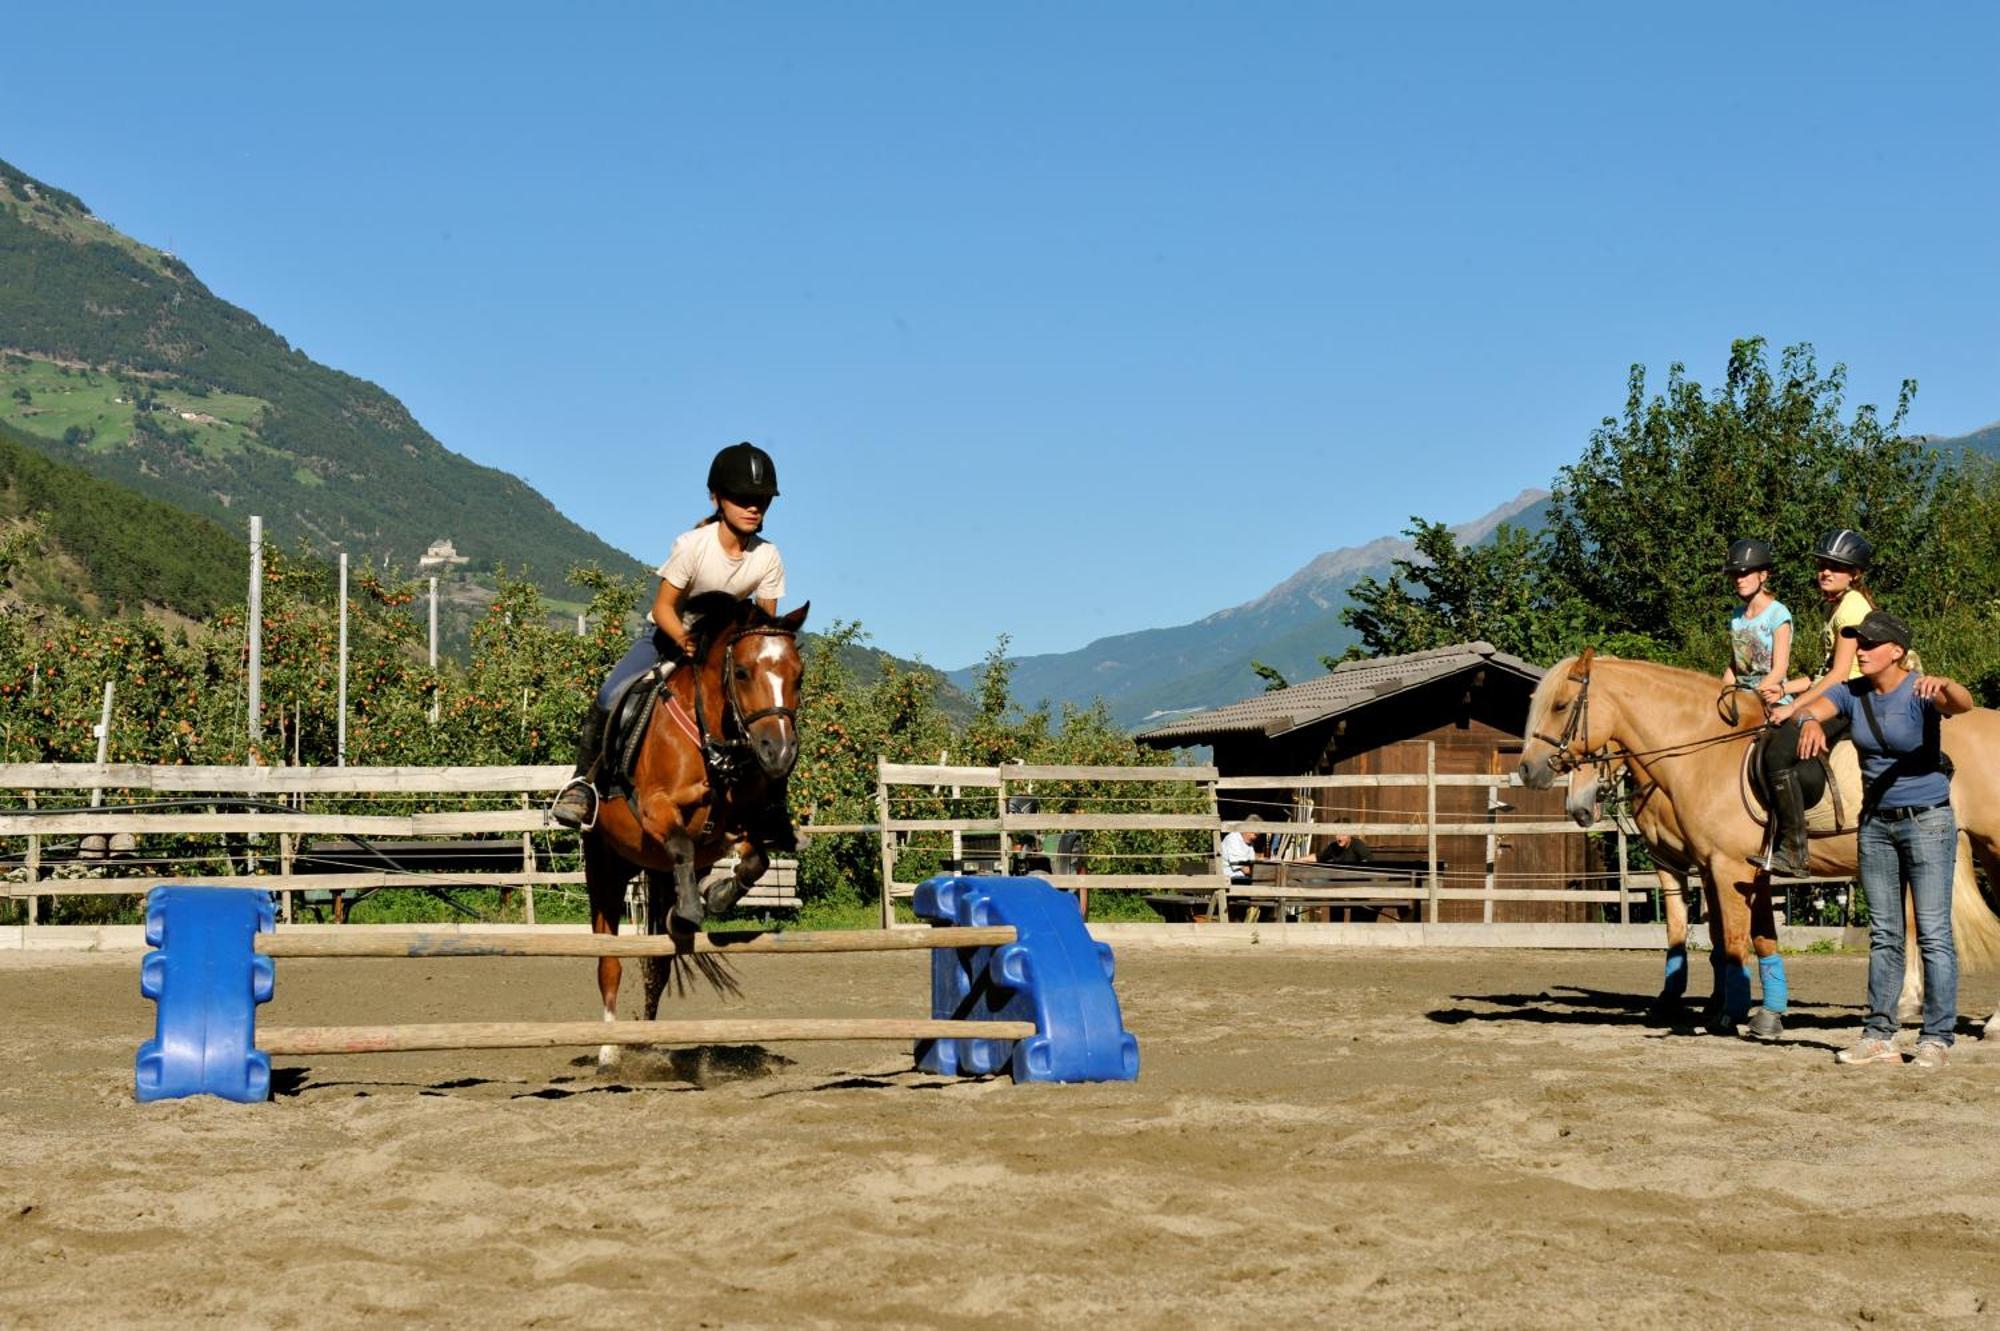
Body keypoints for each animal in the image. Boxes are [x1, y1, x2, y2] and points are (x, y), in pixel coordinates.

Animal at [584, 595, 808, 1063]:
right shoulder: (654, 808)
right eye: (742, 673)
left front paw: (716, 897)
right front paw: (691, 910)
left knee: (658, 965)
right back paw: (610, 1050)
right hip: (604, 865)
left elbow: (758, 857)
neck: (714, 740)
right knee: (608, 959)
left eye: (798, 676)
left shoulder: (737, 827)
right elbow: (681, 842)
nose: (779, 754)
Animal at [1512, 651, 2000, 1039]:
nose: (1529, 770)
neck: (1705, 753)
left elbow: (1732, 939)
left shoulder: (1726, 868)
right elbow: (1750, 937)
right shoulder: (1727, 869)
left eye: (1560, 705)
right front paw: (1763, 1013)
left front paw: (1728, 1013)